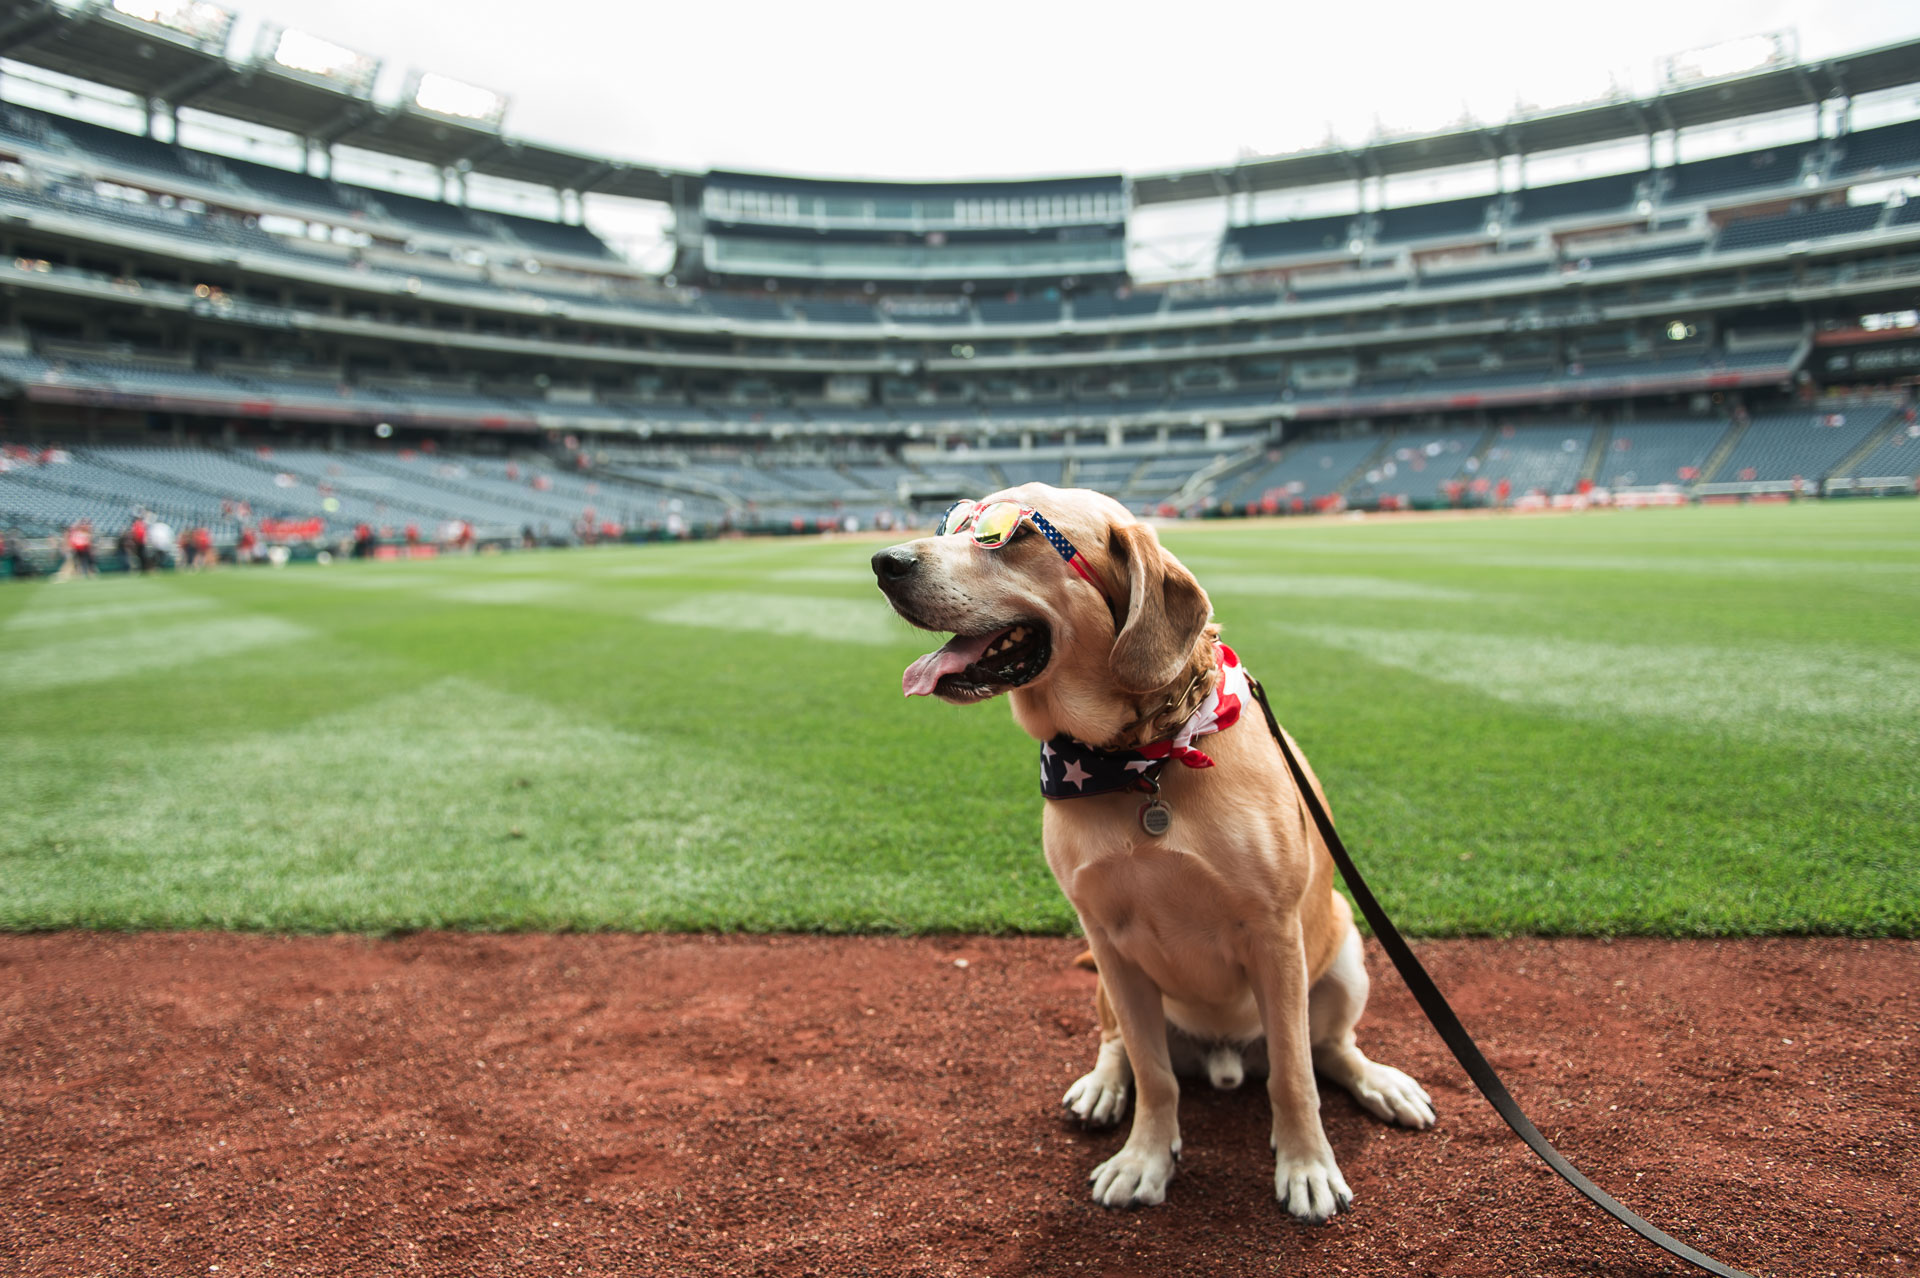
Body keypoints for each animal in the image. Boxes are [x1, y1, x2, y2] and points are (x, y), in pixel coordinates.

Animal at [879, 485, 1436, 1212]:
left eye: (1010, 535)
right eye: (951, 523)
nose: (884, 562)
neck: (1141, 762)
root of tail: (1225, 1057)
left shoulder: (1274, 935)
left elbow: (1294, 1075)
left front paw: (1307, 1166)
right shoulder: (1111, 941)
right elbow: (1154, 1072)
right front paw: (1144, 1157)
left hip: (1344, 953)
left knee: (1332, 1049)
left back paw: (1380, 1083)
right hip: (1111, 982)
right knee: (1121, 1045)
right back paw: (1104, 1086)